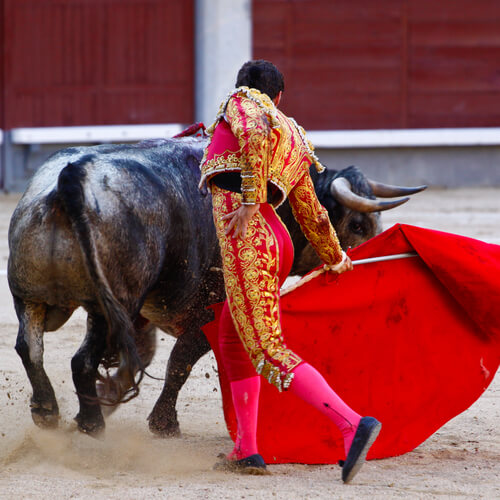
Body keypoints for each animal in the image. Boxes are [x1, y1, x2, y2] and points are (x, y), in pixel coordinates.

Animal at [6, 137, 426, 438]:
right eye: (357, 224)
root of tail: (71, 179)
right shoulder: (210, 310)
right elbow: (180, 361)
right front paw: (163, 424)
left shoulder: (143, 315)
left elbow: (143, 357)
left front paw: (111, 395)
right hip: (107, 307)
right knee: (79, 359)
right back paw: (91, 423)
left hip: (30, 294)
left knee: (30, 348)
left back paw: (48, 411)